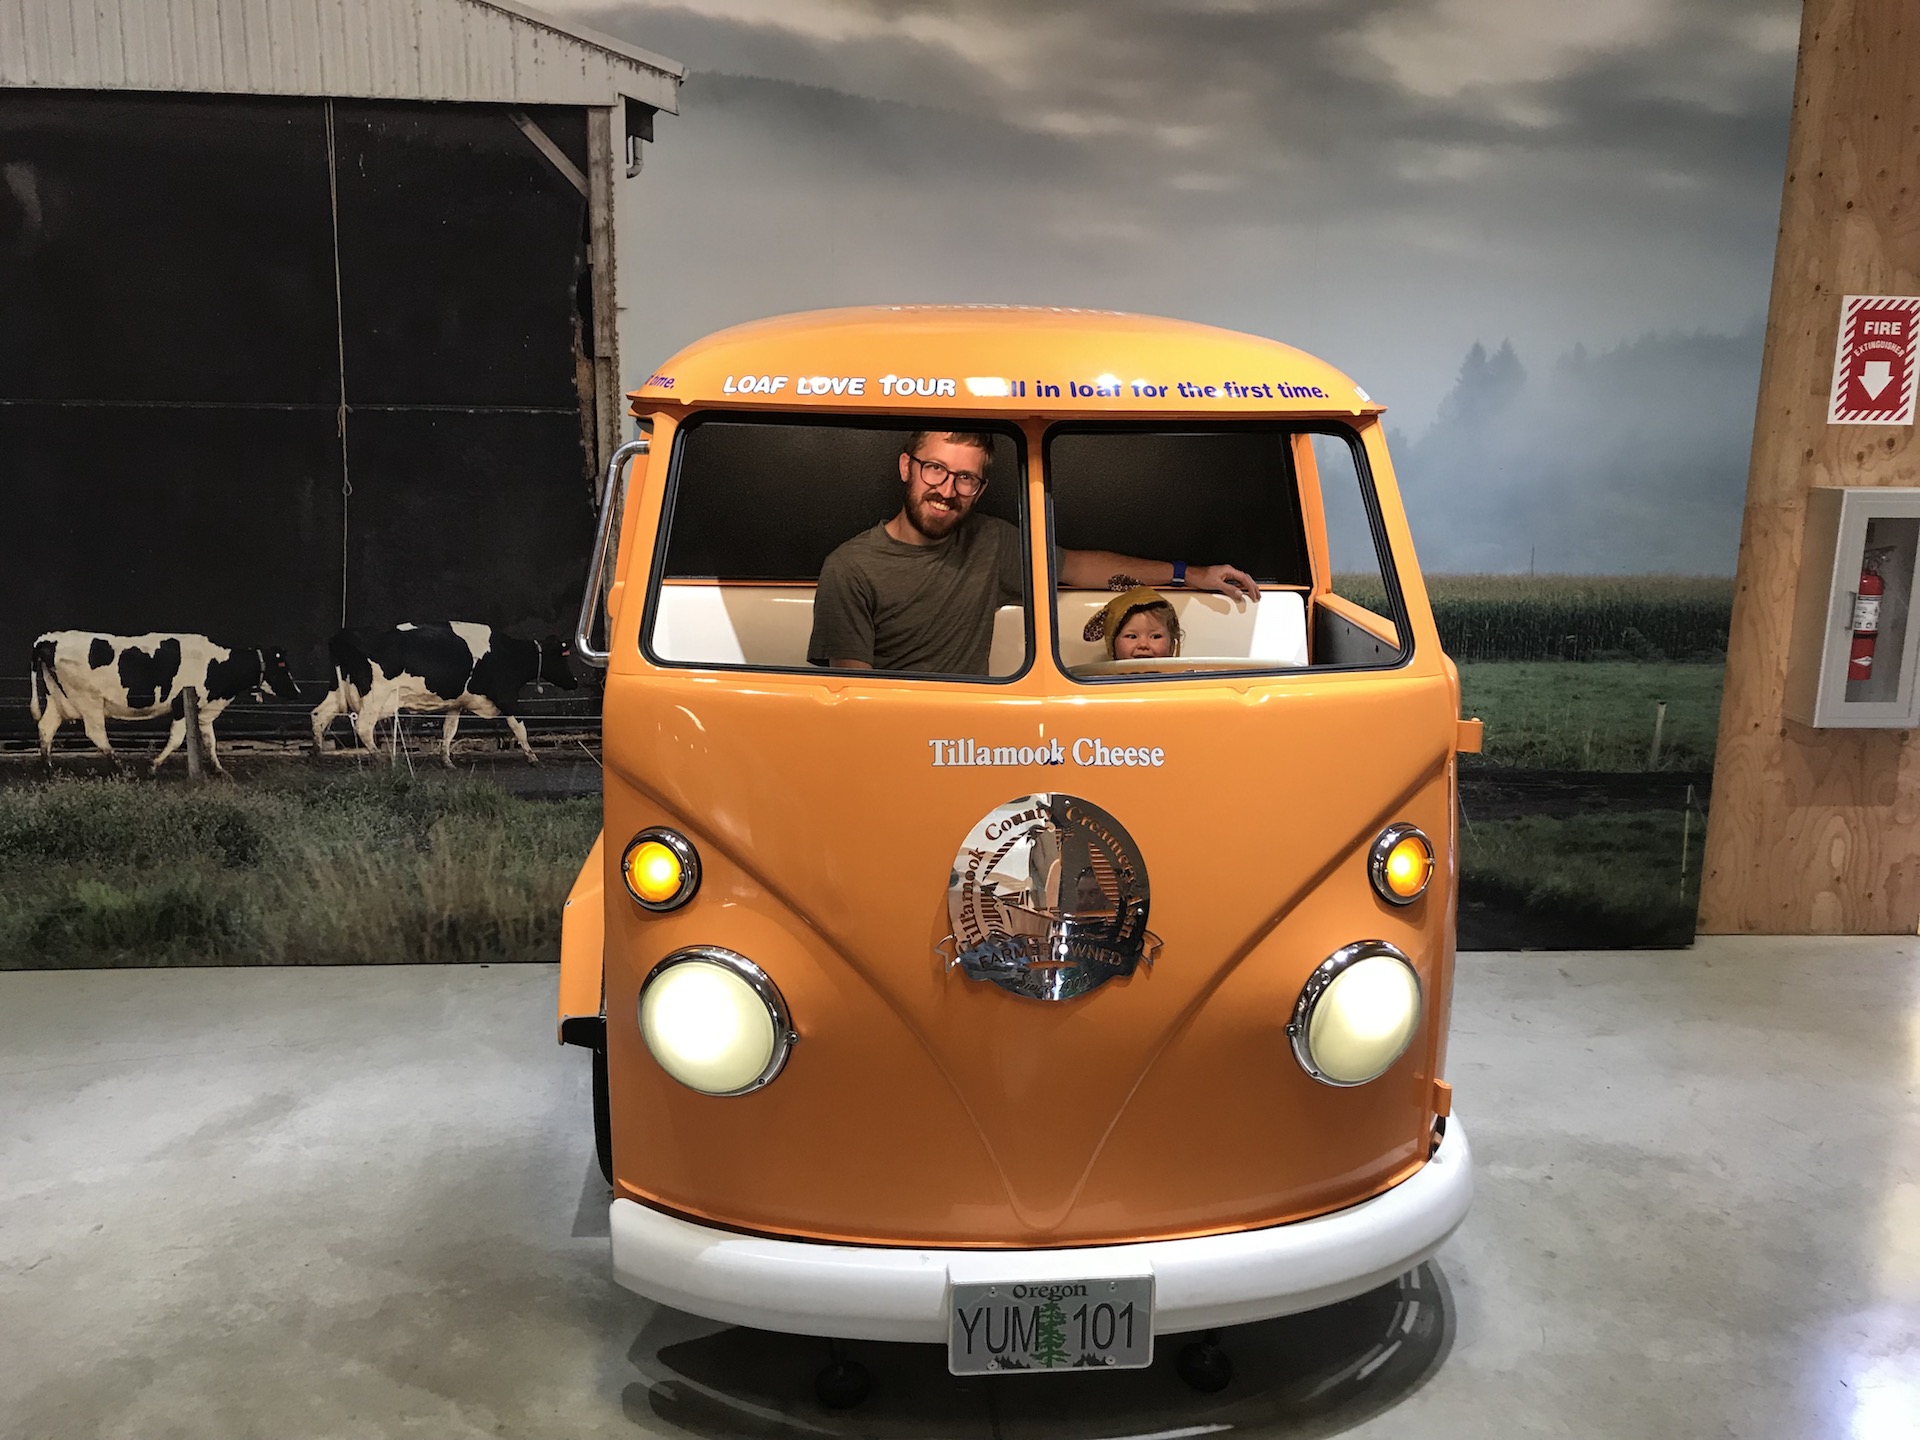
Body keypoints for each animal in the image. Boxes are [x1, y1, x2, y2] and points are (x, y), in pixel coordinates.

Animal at [31, 625, 303, 771]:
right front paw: (154, 766)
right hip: (89, 701)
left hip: (58, 699)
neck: (216, 664)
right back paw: (120, 766)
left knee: (46, 726)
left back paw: (48, 767)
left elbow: (210, 740)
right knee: (96, 733)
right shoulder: (182, 705)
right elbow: (177, 738)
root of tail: (49, 638)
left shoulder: (204, 709)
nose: (297, 692)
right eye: (282, 665)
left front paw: (219, 770)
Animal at [303, 625, 576, 771]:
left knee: (318, 714)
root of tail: (344, 635)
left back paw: (316, 754)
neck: (509, 654)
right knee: (362, 726)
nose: (574, 682)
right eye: (563, 656)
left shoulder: (457, 703)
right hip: (374, 697)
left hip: (337, 691)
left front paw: (447, 761)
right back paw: (381, 758)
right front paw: (533, 758)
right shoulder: (507, 697)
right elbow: (520, 728)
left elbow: (449, 730)